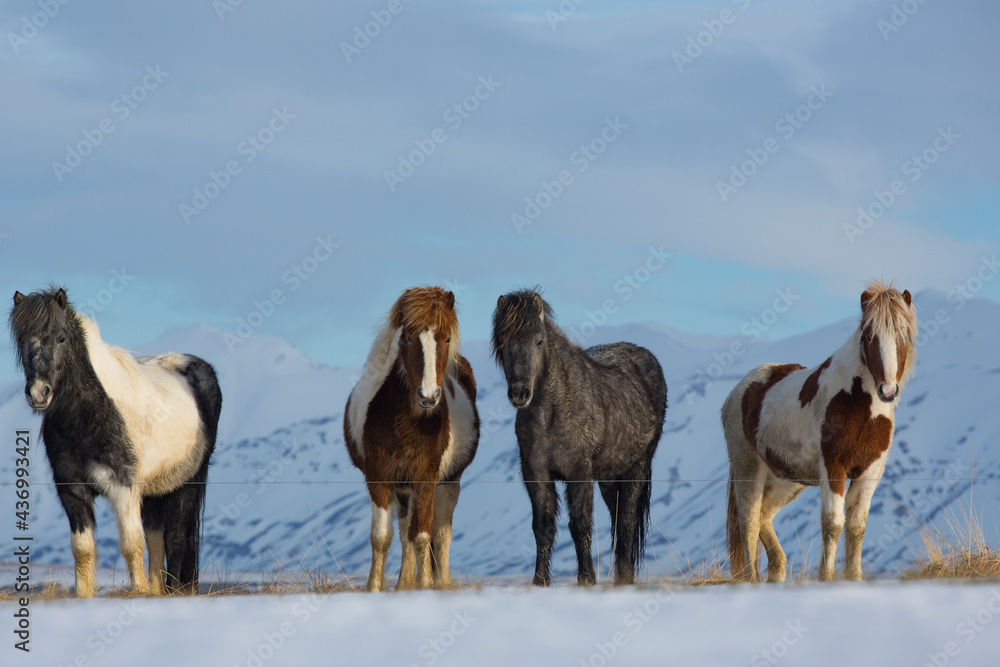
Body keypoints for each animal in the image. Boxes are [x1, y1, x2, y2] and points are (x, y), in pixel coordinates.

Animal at [8, 287, 222, 597]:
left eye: (61, 338)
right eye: (22, 340)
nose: (38, 393)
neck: (90, 415)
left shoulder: (123, 487)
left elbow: (131, 544)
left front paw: (139, 593)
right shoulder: (72, 489)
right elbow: (83, 548)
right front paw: (84, 595)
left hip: (187, 484)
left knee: (177, 538)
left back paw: (175, 591)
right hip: (155, 489)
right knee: (157, 539)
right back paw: (158, 589)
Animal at [344, 286, 479, 591]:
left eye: (447, 338)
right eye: (407, 338)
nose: (428, 397)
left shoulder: (426, 478)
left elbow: (423, 535)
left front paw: (426, 585)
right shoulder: (379, 477)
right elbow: (382, 538)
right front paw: (374, 588)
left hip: (449, 482)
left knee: (440, 533)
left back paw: (440, 582)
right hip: (404, 488)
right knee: (405, 530)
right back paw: (403, 585)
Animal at [491, 288, 667, 586]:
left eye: (538, 341)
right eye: (503, 341)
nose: (519, 393)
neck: (551, 412)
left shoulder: (579, 470)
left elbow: (580, 522)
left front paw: (586, 578)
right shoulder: (535, 472)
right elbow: (543, 525)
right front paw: (540, 580)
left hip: (637, 467)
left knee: (627, 519)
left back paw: (625, 577)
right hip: (609, 476)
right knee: (618, 518)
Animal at [722, 281, 917, 582]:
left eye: (903, 335)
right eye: (869, 336)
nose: (887, 390)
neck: (859, 402)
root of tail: (739, 390)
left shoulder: (870, 470)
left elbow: (856, 526)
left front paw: (854, 578)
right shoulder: (833, 466)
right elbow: (833, 523)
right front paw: (826, 577)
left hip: (786, 479)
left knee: (765, 517)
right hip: (748, 468)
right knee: (749, 521)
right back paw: (751, 579)